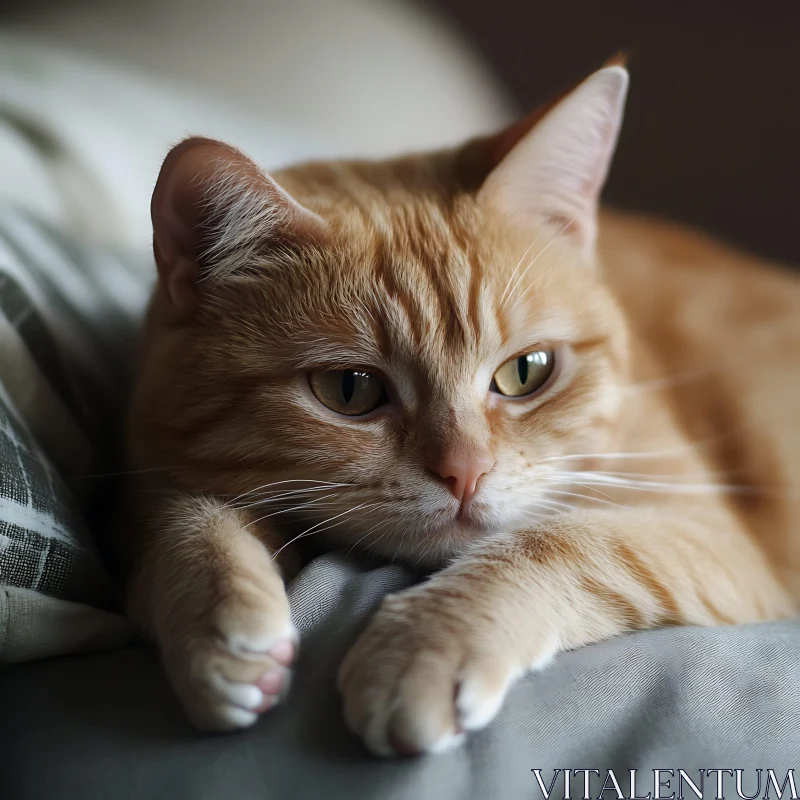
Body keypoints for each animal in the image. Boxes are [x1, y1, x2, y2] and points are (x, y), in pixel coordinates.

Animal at [120, 64, 800, 756]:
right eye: (349, 389)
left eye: (527, 371)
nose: (465, 471)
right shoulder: (152, 473)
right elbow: (181, 521)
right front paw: (213, 622)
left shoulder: (708, 531)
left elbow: (563, 542)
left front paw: (425, 645)